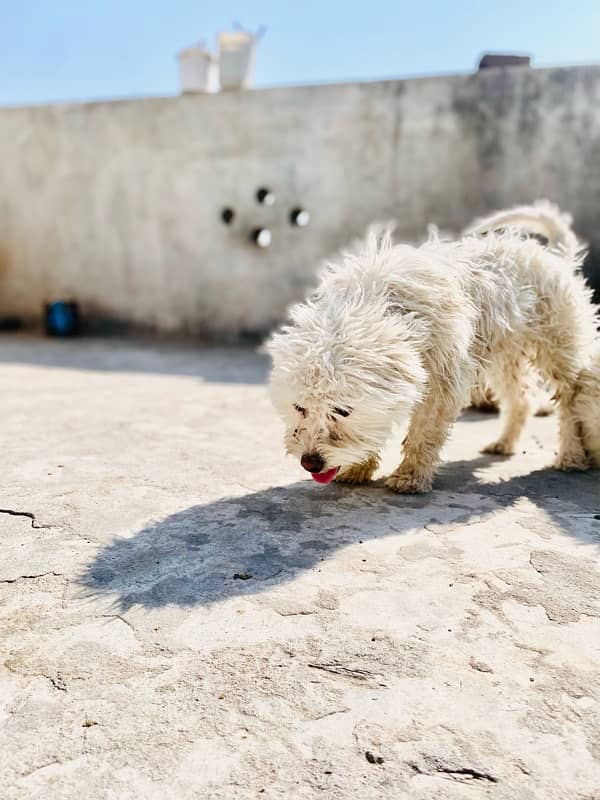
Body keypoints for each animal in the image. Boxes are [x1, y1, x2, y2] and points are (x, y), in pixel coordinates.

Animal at [270, 231, 596, 490]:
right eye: (299, 407)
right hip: (507, 359)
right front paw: (359, 467)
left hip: (557, 349)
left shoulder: (444, 380)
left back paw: (571, 454)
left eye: (342, 410)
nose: (311, 463)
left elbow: (424, 432)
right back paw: (504, 443)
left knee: (569, 401)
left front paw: (410, 476)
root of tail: (552, 256)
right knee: (521, 399)